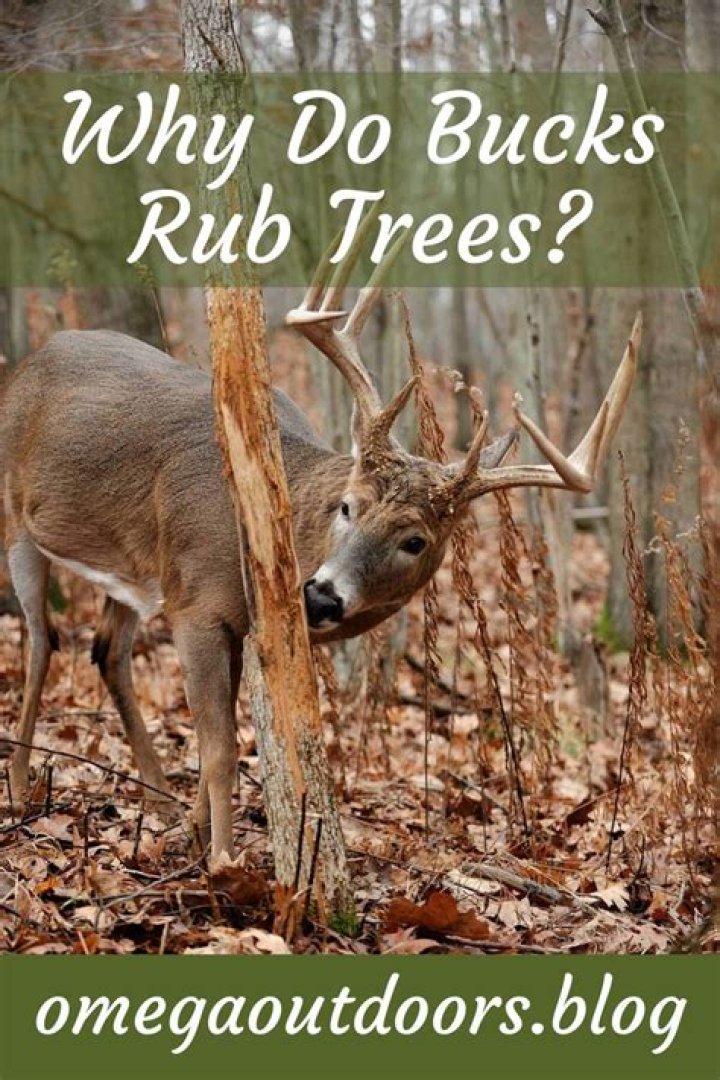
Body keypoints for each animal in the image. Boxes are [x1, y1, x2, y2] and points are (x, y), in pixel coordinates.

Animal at [1, 228, 641, 868]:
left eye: (415, 540)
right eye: (348, 506)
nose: (322, 597)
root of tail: (26, 363)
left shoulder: (233, 622)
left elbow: (222, 737)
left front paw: (192, 835)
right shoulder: (197, 606)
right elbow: (221, 751)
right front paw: (222, 862)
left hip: (128, 570)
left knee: (105, 650)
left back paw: (155, 798)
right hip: (15, 523)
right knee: (41, 639)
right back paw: (20, 785)